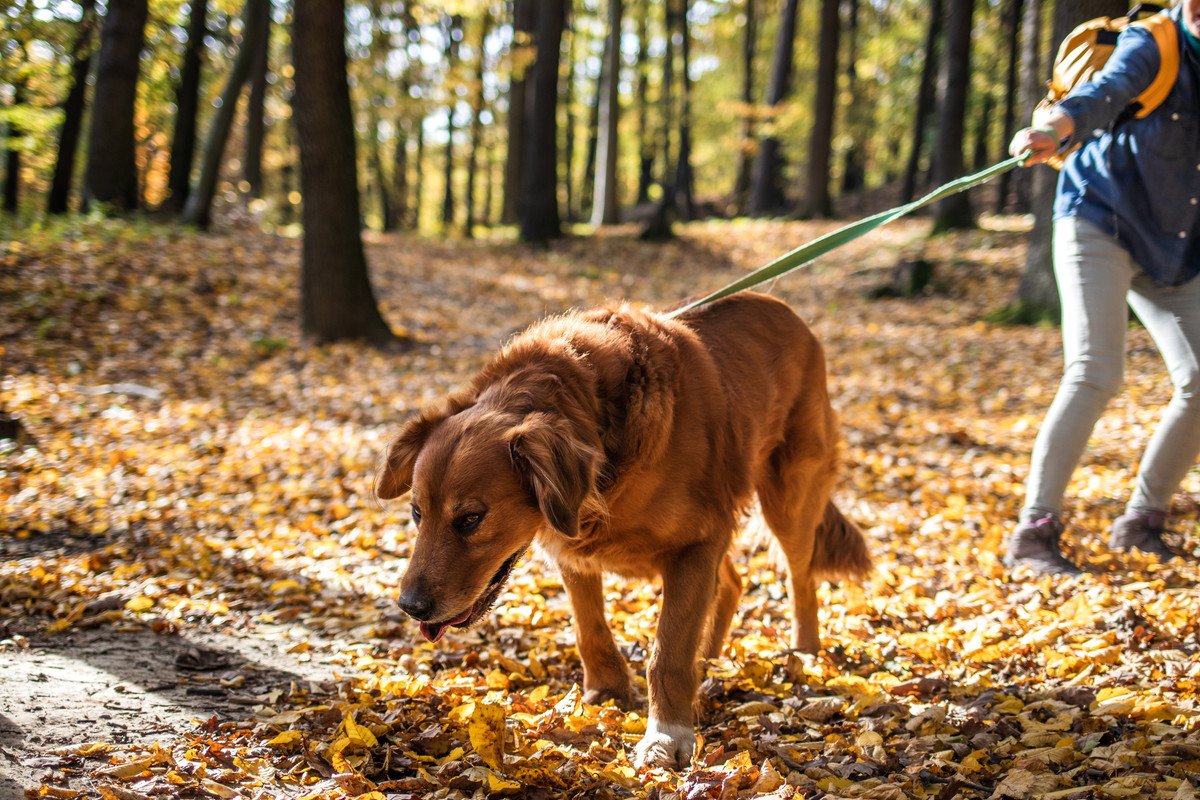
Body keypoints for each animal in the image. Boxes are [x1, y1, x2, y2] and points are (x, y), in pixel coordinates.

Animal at [376, 292, 873, 767]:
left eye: (470, 519)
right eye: (417, 513)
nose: (410, 607)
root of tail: (787, 311)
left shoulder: (697, 541)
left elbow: (668, 652)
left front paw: (666, 735)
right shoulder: (575, 547)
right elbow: (589, 628)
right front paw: (608, 690)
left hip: (789, 496)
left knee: (800, 578)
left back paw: (803, 653)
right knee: (732, 582)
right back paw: (710, 656)